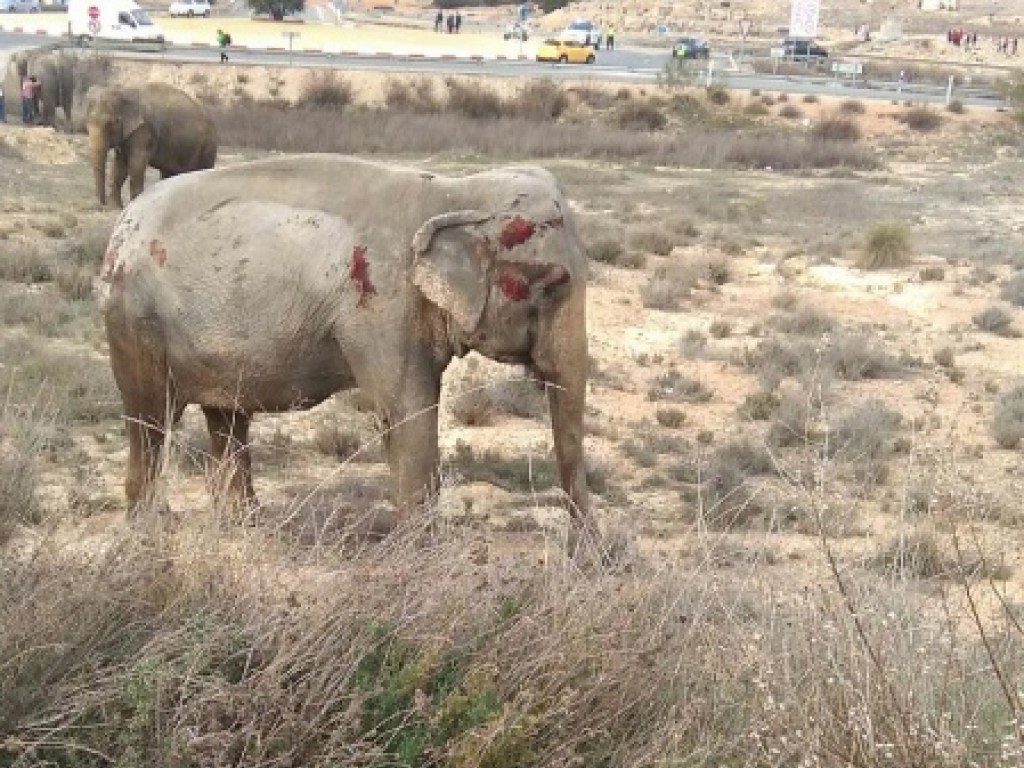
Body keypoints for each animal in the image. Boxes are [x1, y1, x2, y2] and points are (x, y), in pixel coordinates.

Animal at [85, 83, 218, 207]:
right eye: (87, 123)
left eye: (111, 123)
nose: (102, 204)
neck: (125, 90)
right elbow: (119, 167)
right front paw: (115, 207)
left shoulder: (144, 130)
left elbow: (136, 165)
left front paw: (135, 204)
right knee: (169, 174)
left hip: (208, 146)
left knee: (202, 170)